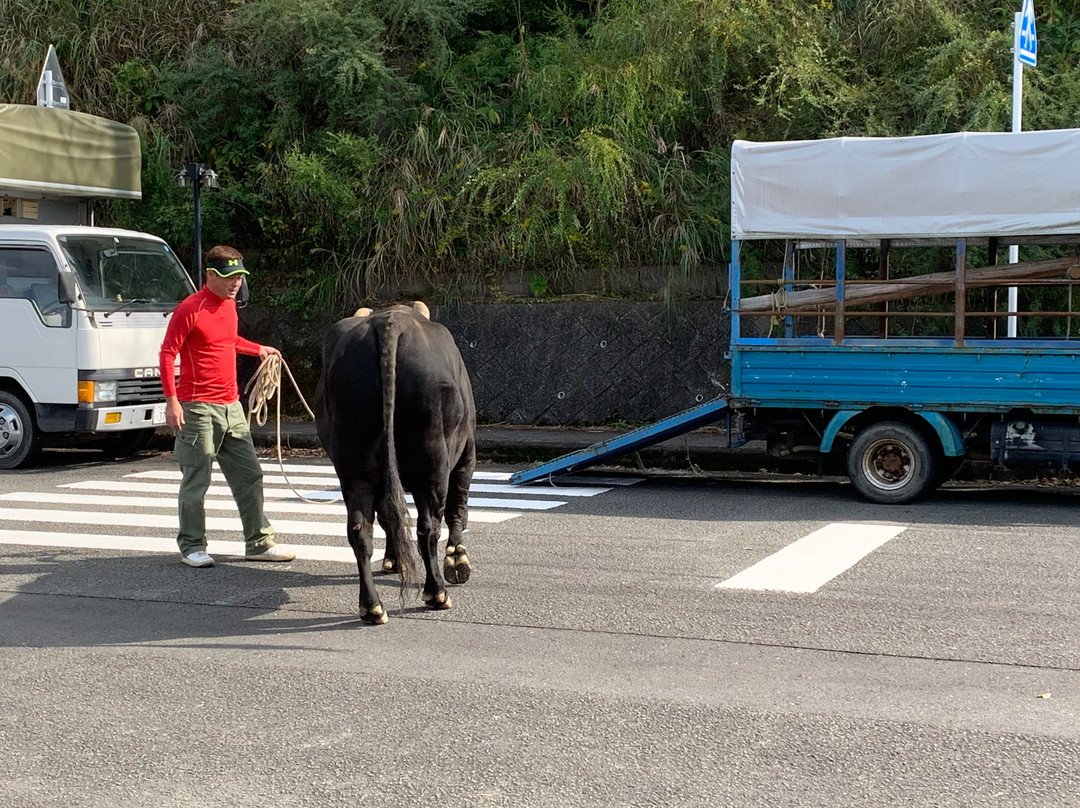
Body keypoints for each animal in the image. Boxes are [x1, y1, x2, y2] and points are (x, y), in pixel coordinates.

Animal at [315, 302, 477, 626]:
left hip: (355, 464)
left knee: (360, 529)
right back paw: (436, 593)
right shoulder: (467, 450)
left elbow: (389, 515)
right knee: (428, 526)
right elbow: (458, 507)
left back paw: (372, 606)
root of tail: (389, 320)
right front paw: (457, 559)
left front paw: (394, 560)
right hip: (432, 458)